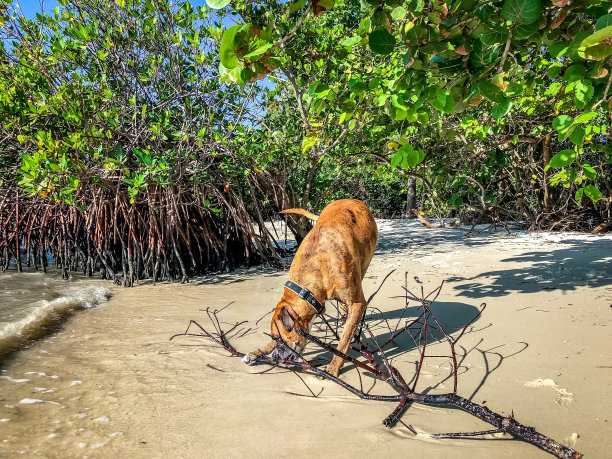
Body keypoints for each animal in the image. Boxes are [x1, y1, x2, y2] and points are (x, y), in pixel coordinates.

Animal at [243, 199, 378, 378]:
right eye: (273, 337)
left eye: (282, 338)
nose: (276, 357)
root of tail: (351, 200)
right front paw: (258, 352)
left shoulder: (357, 303)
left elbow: (343, 341)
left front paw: (333, 368)